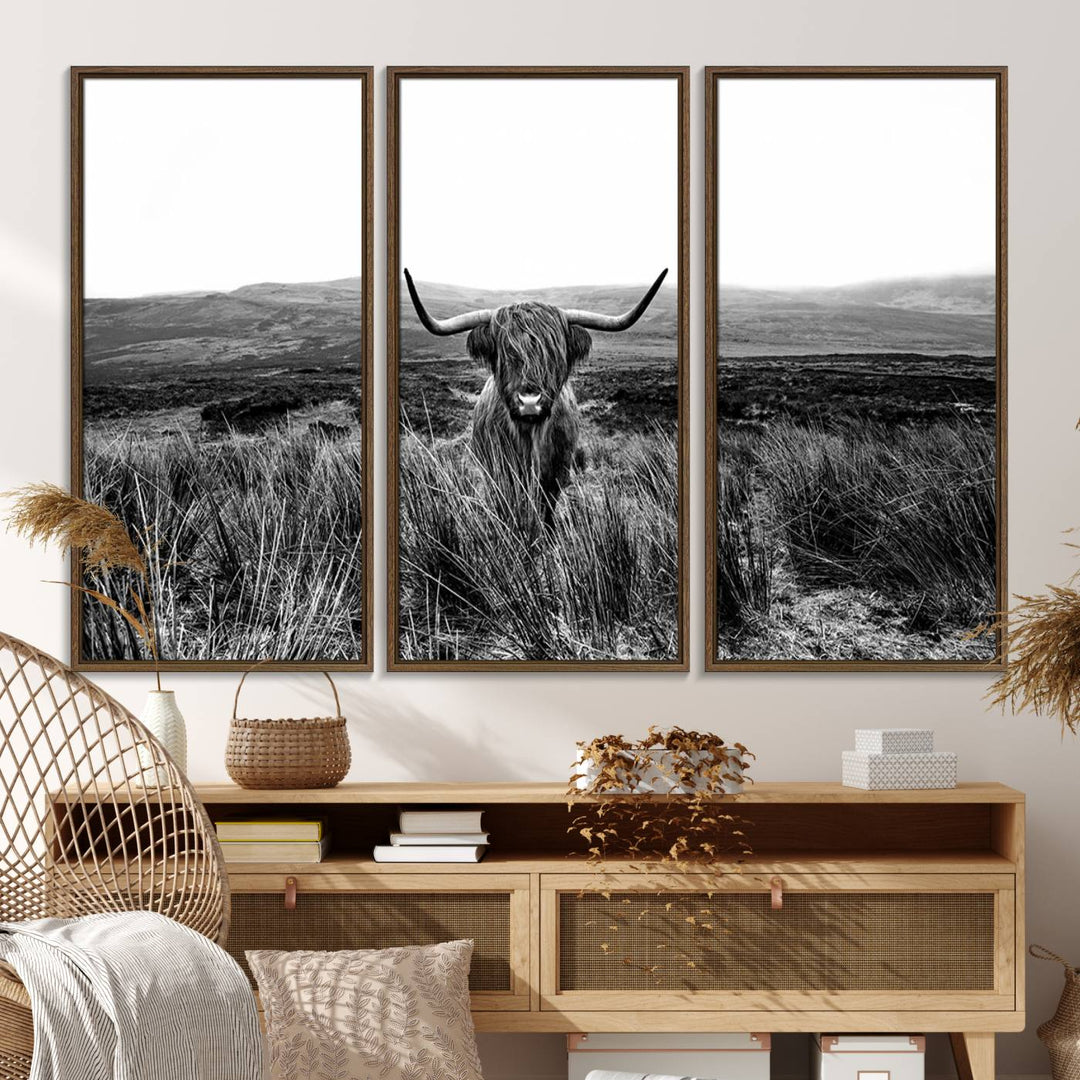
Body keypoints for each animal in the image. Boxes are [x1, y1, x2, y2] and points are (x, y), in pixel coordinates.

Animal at [403, 267, 665, 524]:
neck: (529, 437)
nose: (530, 402)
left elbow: (546, 510)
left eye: (553, 354)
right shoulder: (499, 472)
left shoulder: (556, 475)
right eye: (505, 353)